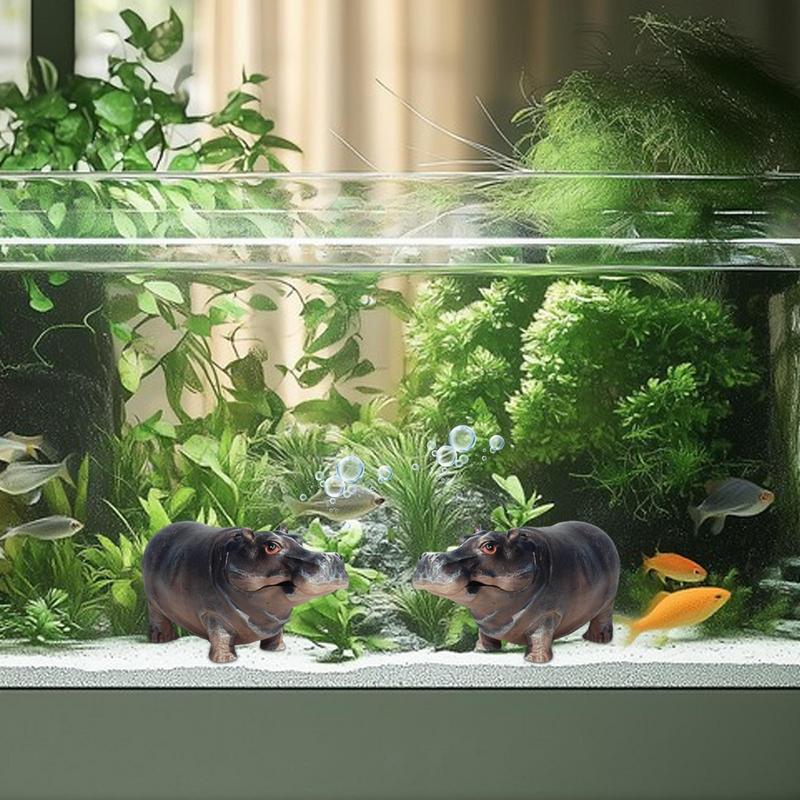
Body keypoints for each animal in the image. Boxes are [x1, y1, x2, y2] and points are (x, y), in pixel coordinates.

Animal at [142, 522, 348, 663]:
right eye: (271, 546)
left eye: (299, 539)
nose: (332, 557)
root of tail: (157, 534)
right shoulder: (212, 613)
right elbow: (221, 636)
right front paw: (225, 660)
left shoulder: (275, 620)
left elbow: (277, 633)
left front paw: (277, 650)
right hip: (152, 601)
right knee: (158, 617)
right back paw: (161, 640)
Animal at [412, 522, 620, 663]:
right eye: (462, 538)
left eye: (489, 546)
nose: (428, 556)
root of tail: (603, 533)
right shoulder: (487, 622)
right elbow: (484, 634)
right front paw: (481, 651)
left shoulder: (548, 613)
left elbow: (540, 636)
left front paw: (535, 660)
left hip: (608, 600)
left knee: (602, 618)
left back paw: (598, 640)